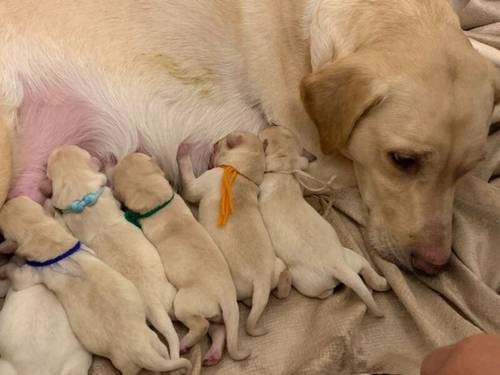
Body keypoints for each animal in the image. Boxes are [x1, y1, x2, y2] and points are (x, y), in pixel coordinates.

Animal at [0, 197, 189, 375]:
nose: (7, 202)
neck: (46, 237)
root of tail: (141, 349)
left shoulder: (35, 271)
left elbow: (18, 278)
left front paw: (7, 267)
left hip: (123, 360)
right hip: (151, 339)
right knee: (162, 348)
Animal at [111, 153, 248, 368]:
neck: (158, 201)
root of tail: (227, 294)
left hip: (183, 303)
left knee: (202, 325)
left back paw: (185, 344)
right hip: (212, 312)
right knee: (219, 330)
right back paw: (213, 354)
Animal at [177, 132, 292, 338]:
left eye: (220, 142)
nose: (214, 142)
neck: (241, 174)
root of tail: (262, 278)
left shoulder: (202, 182)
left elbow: (188, 180)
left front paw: (183, 151)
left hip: (236, 284)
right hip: (277, 266)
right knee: (282, 279)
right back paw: (282, 291)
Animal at [258, 127, 390, 318]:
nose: (265, 127)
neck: (284, 171)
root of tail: (338, 266)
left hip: (304, 281)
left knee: (324, 293)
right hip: (352, 257)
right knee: (367, 270)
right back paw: (383, 282)